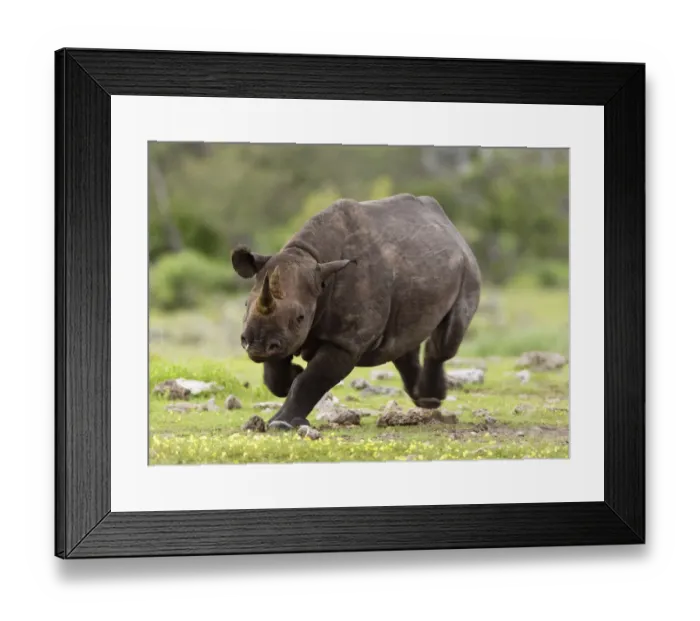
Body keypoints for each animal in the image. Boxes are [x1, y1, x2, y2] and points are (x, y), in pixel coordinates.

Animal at [231, 193, 481, 430]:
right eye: (245, 305)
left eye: (300, 317)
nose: (256, 345)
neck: (310, 257)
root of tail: (450, 226)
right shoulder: (282, 336)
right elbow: (275, 373)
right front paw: (291, 374)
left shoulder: (346, 342)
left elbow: (311, 380)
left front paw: (281, 423)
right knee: (402, 339)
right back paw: (424, 398)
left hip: (468, 268)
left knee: (446, 338)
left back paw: (430, 400)